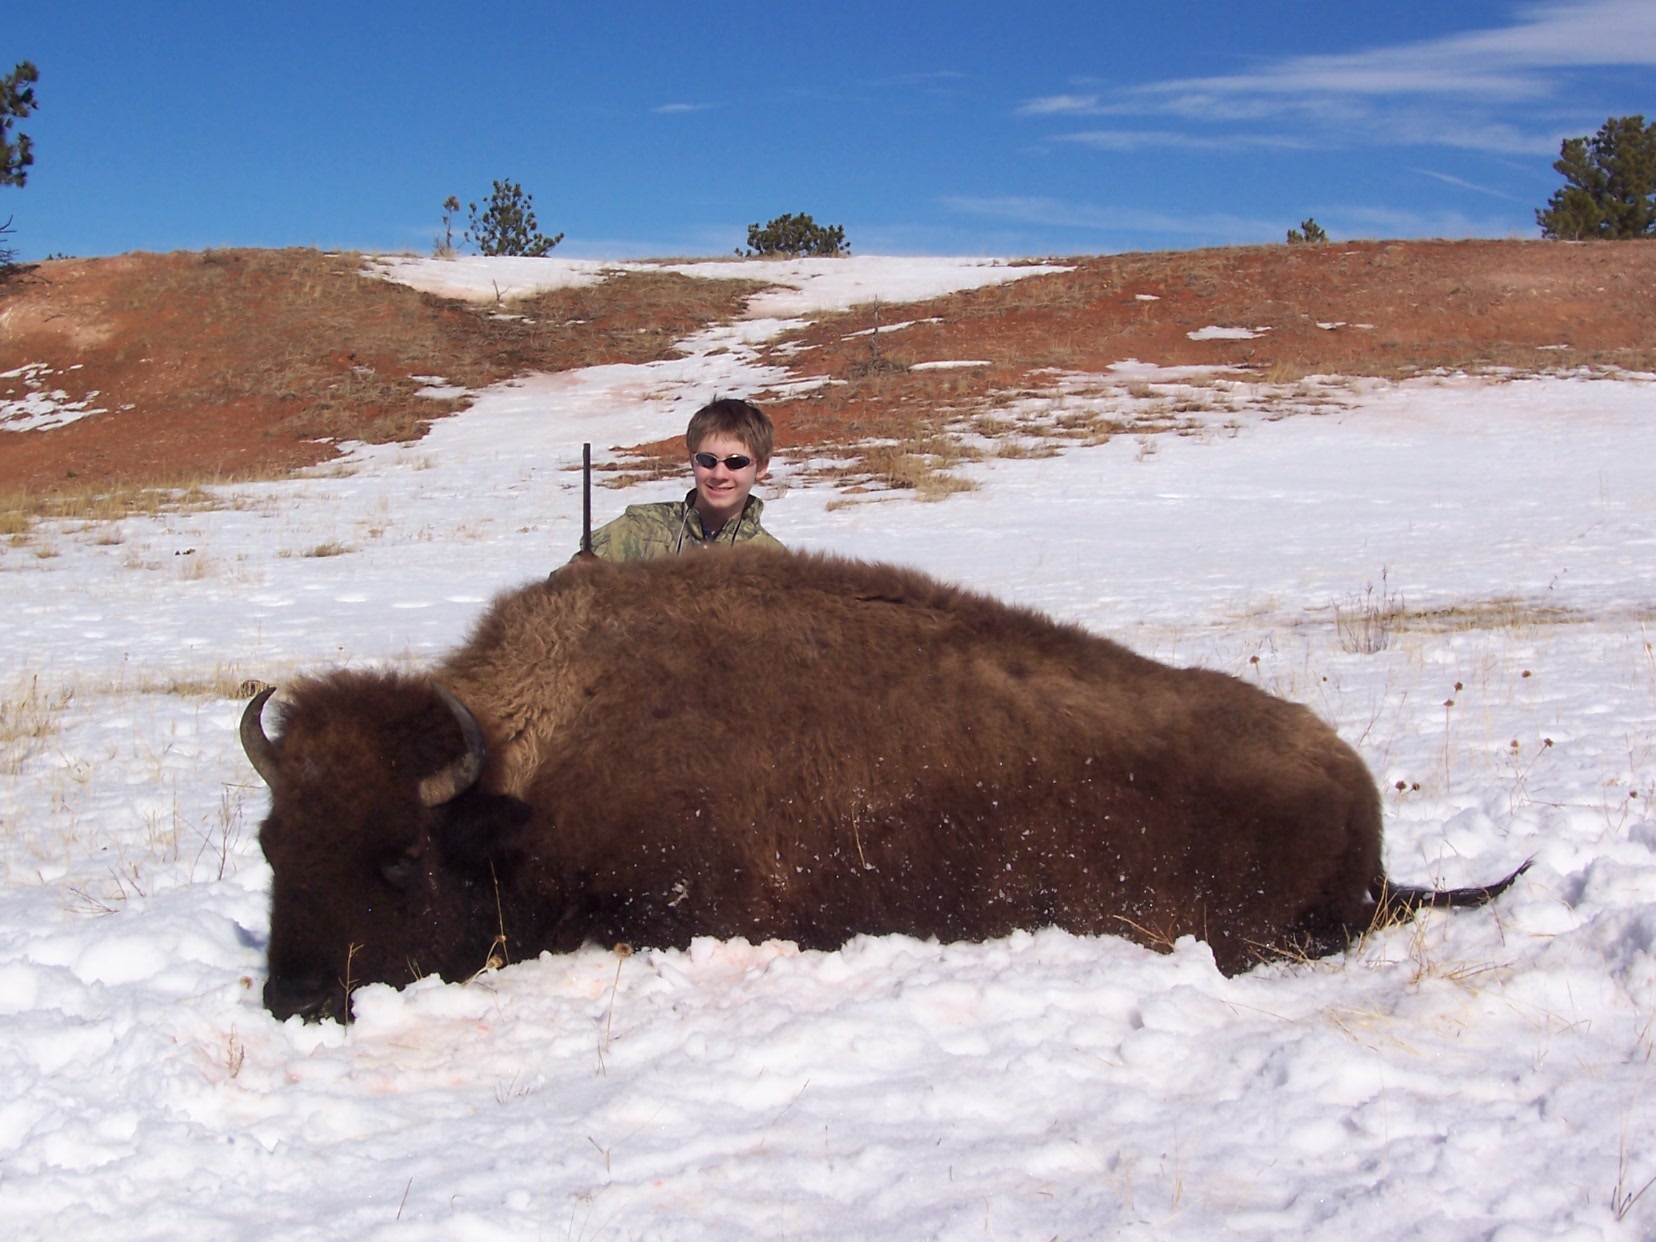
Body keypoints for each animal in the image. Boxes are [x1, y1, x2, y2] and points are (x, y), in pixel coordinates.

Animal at [241, 547, 1523, 1021]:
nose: (293, 996)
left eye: (396, 858)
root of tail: (1356, 793)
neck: (521, 779)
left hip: (1258, 936)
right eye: (271, 845)